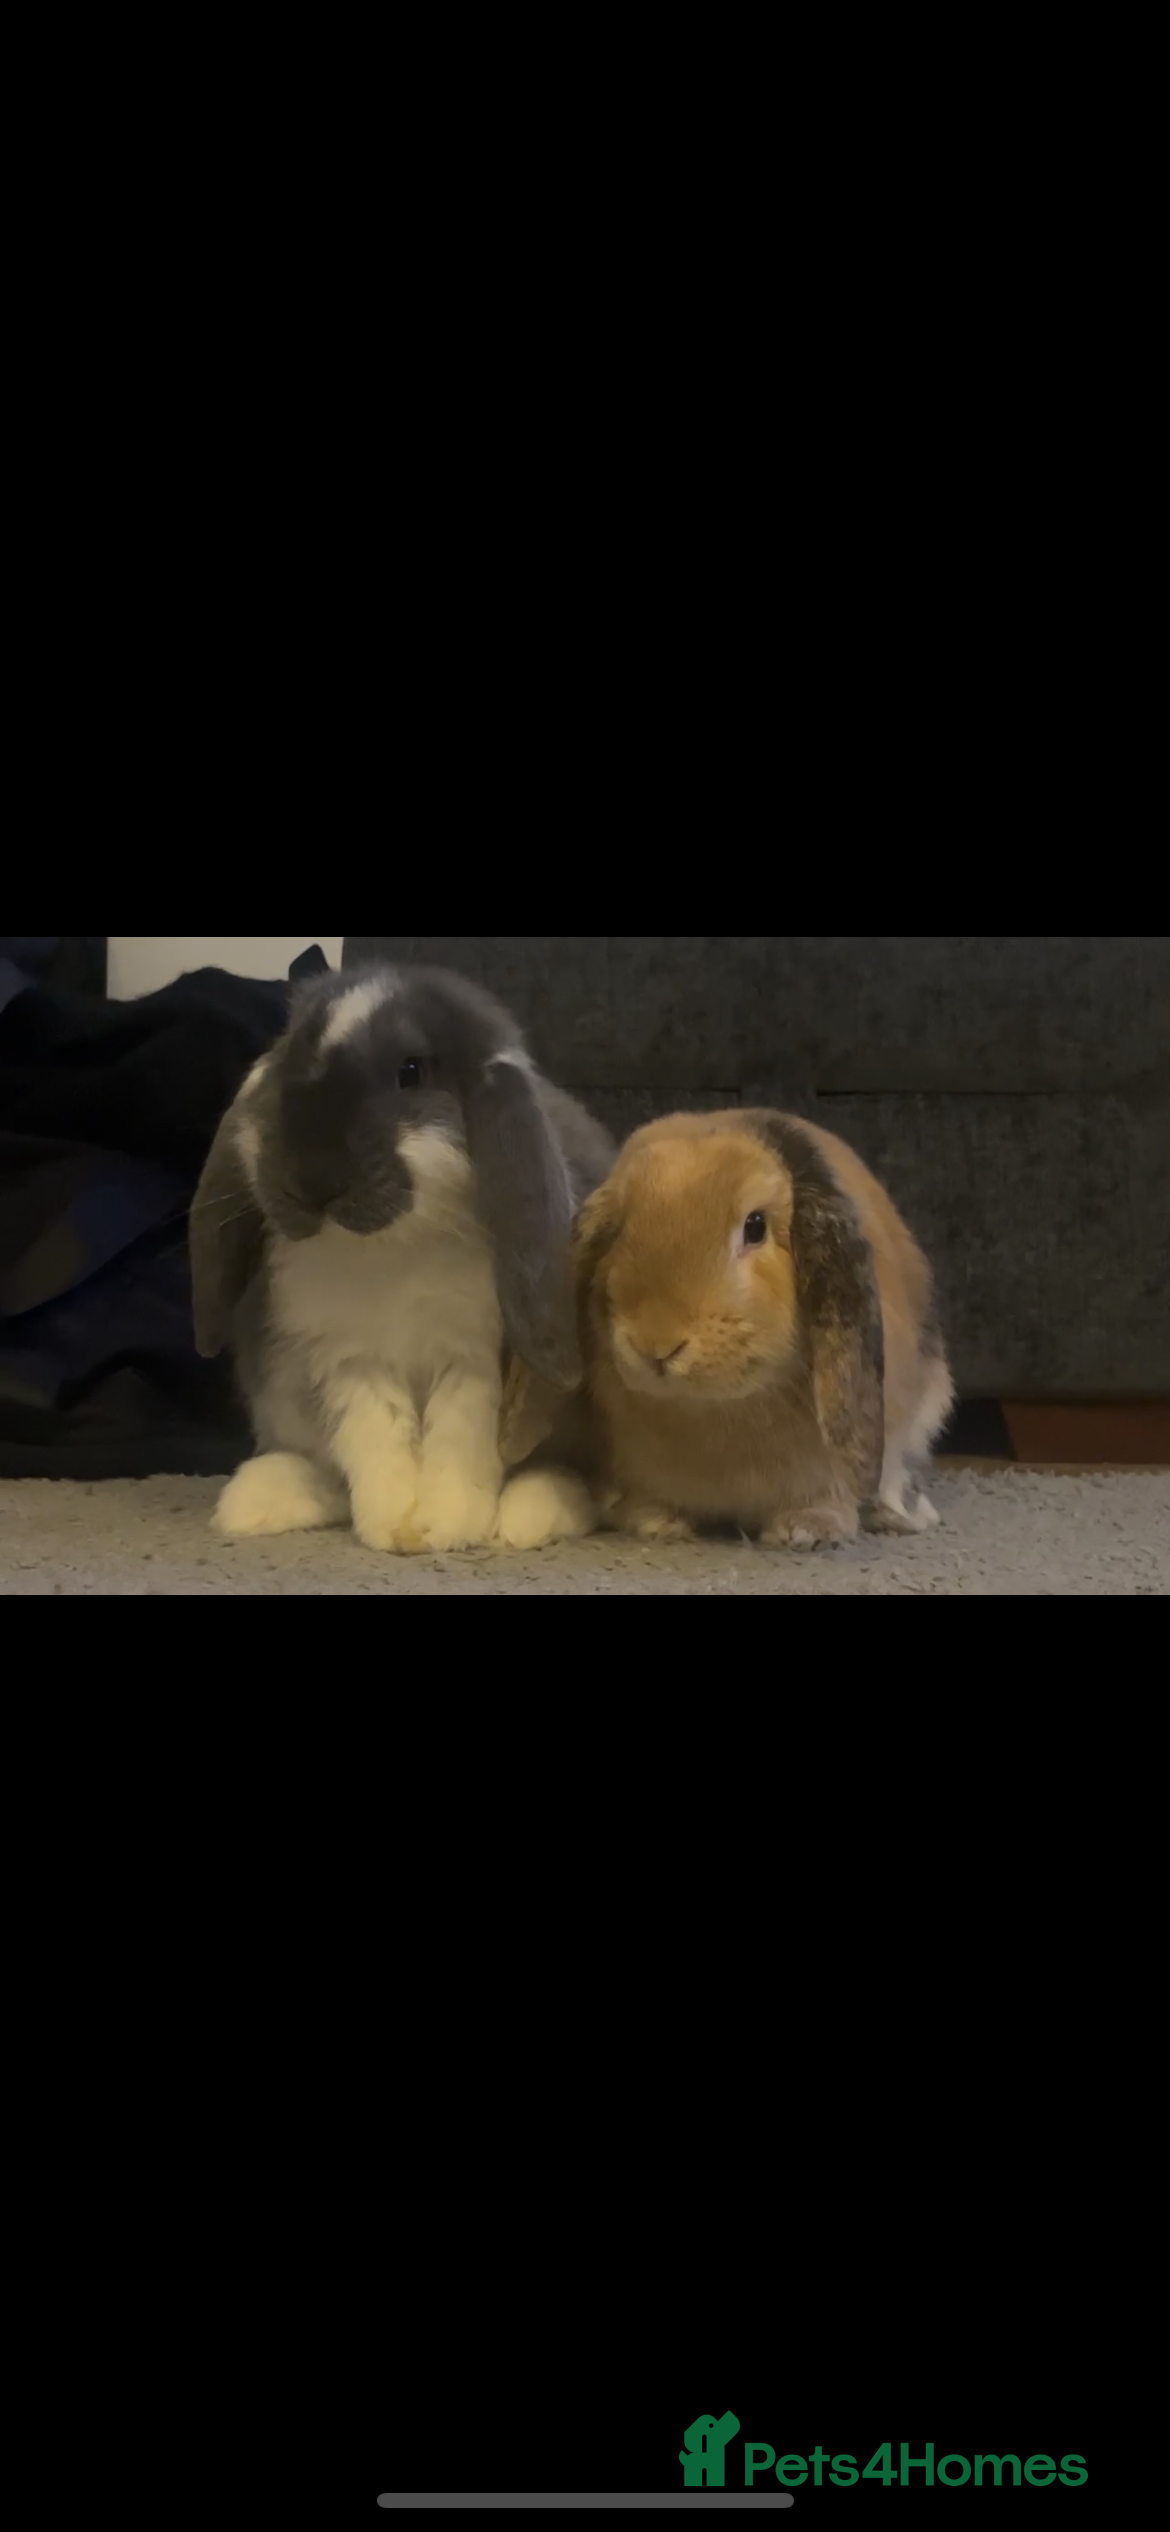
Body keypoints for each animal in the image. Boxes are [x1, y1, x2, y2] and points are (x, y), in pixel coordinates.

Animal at [189, 963, 614, 1553]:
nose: (312, 1181)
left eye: (410, 1071)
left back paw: (531, 1516)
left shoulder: (474, 1360)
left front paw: (443, 1527)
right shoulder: (350, 1359)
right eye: (290, 1056)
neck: (396, 1245)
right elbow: (376, 1438)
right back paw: (256, 1501)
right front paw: (395, 1527)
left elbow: (458, 1441)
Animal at [572, 1109, 955, 1548]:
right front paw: (655, 1521)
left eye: (755, 1226)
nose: (656, 1345)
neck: (709, 1410)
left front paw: (805, 1530)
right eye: (619, 1227)